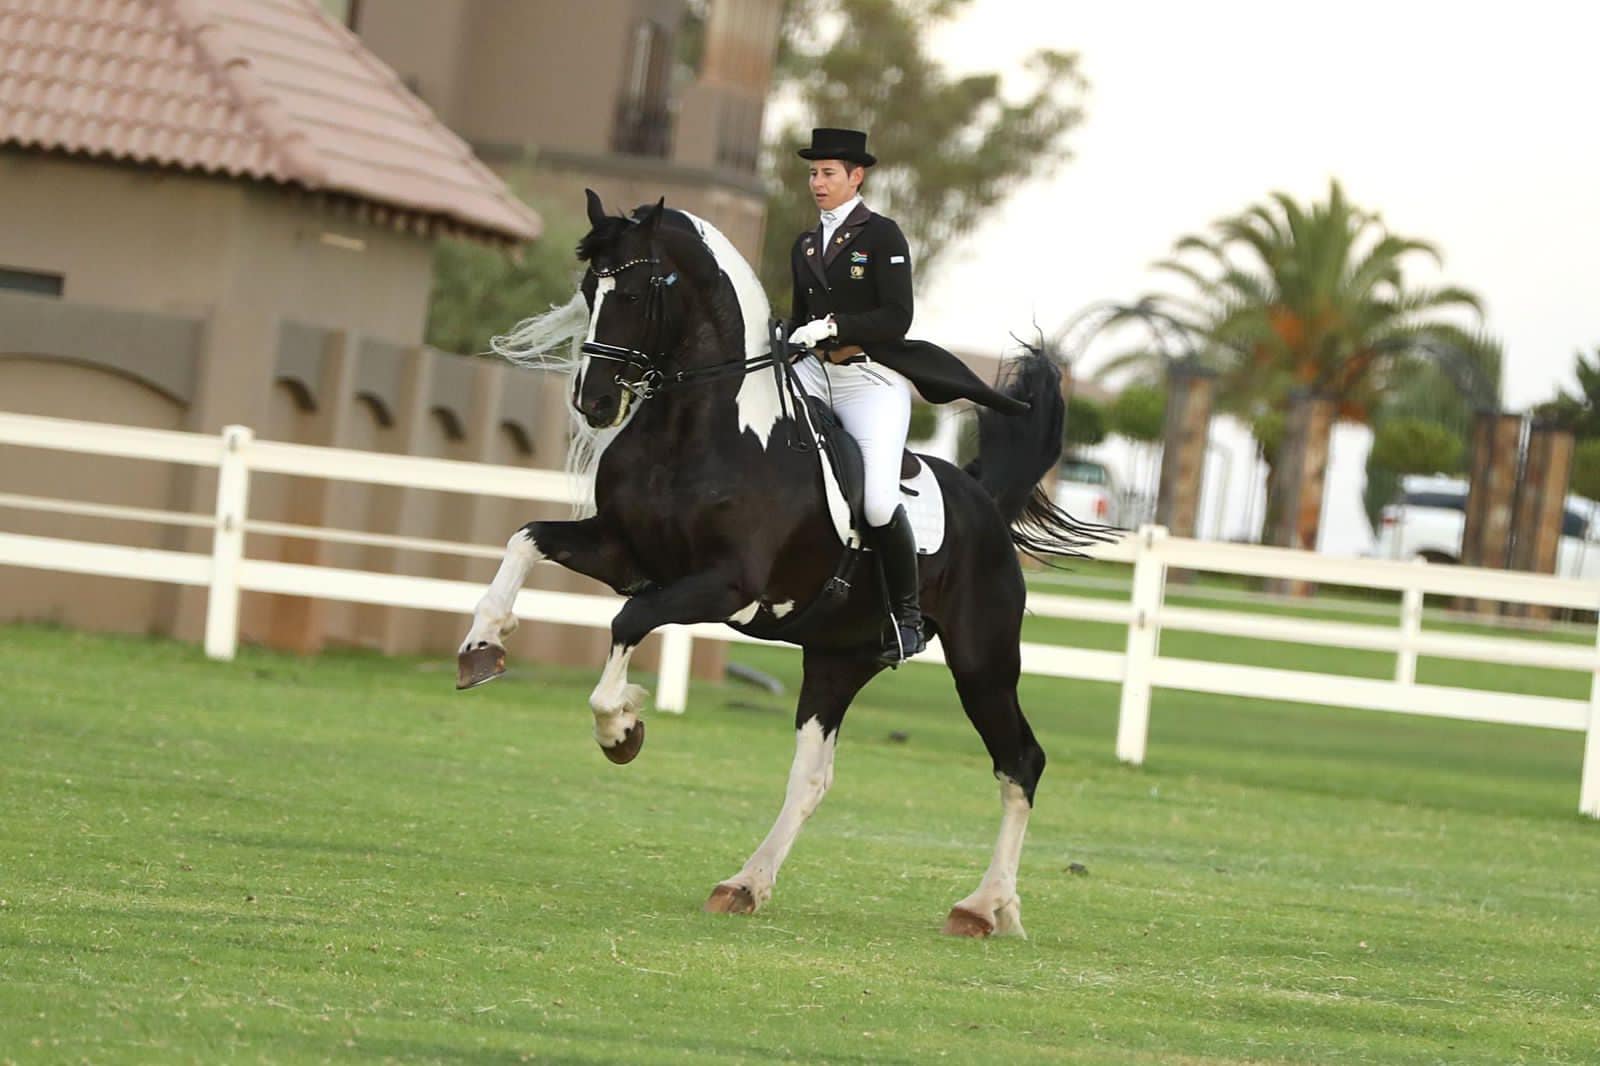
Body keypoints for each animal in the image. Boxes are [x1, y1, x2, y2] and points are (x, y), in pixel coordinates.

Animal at [457, 192, 1107, 941]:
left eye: (641, 290)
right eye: (591, 288)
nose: (593, 402)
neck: (702, 428)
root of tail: (981, 496)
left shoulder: (721, 587)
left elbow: (628, 621)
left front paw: (621, 728)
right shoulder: (625, 554)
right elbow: (525, 539)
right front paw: (480, 649)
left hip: (983, 663)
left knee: (1019, 762)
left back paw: (984, 906)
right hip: (837, 659)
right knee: (813, 777)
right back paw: (745, 884)